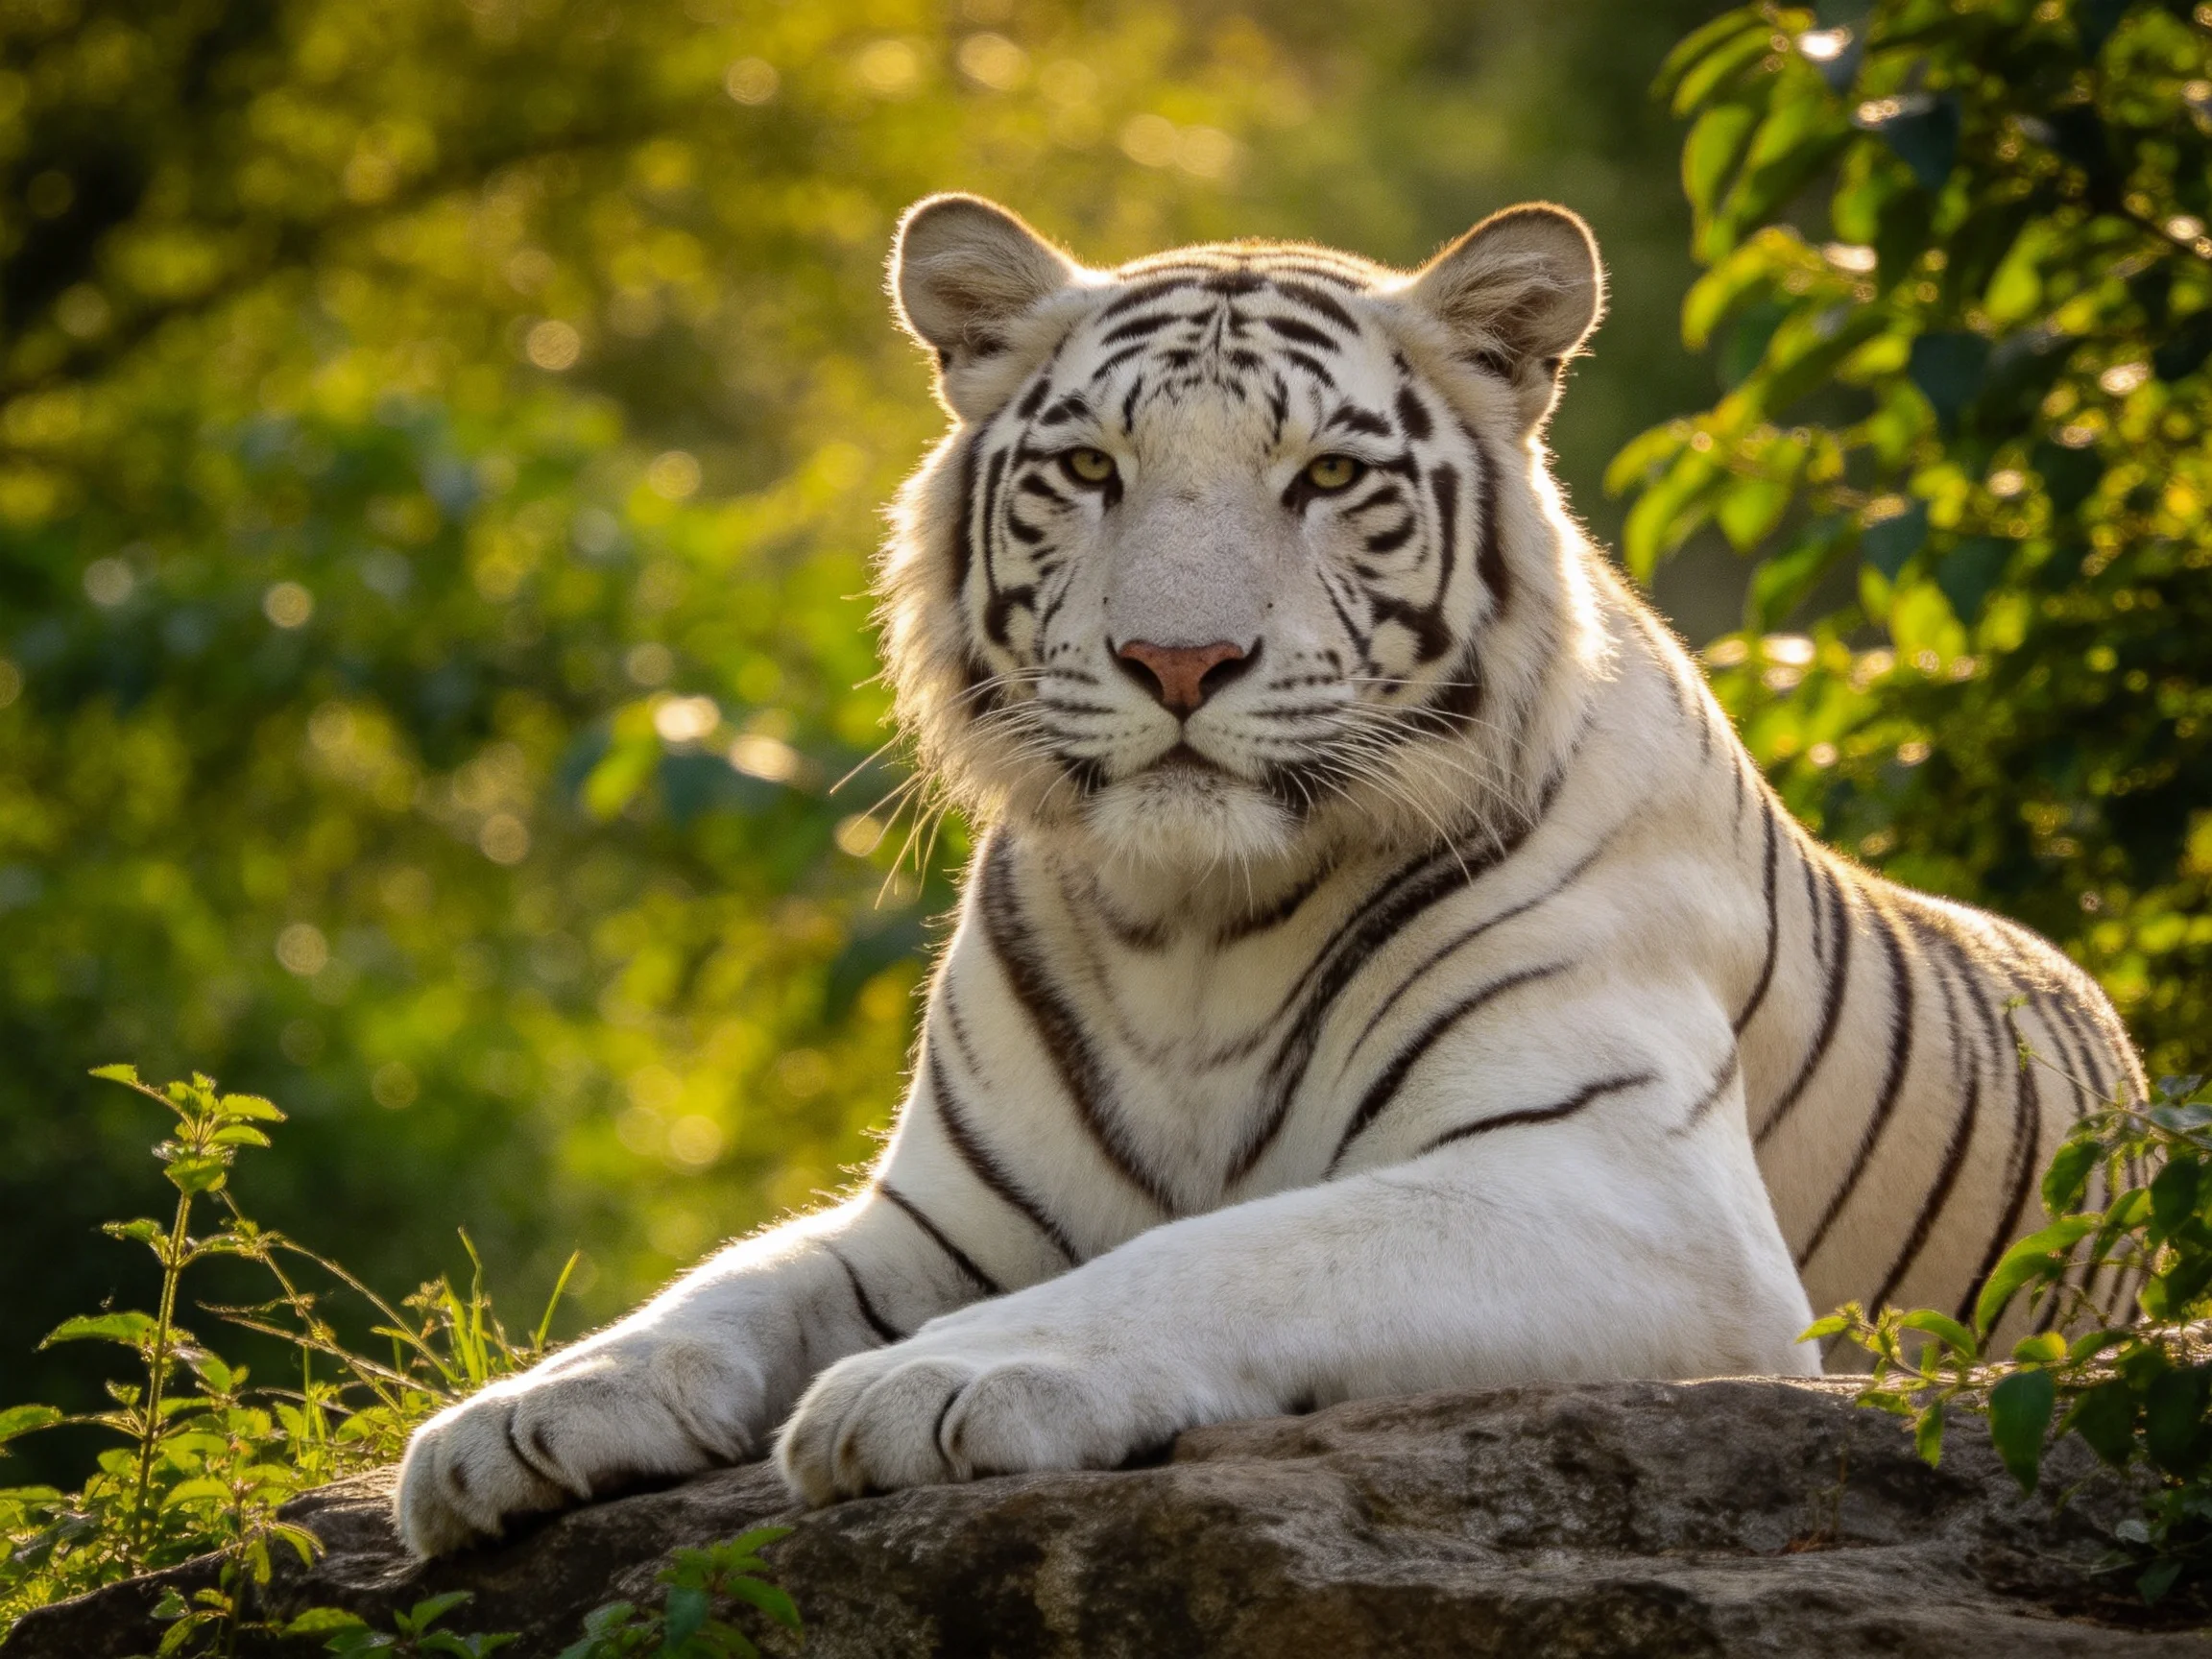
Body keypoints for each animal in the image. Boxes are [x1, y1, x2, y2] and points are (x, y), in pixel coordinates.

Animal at [394, 193, 2145, 1555]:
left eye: (1325, 478)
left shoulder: (1635, 1196)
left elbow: (1231, 1246)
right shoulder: (942, 1214)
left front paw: (937, 1383)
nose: (1178, 659)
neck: (1190, 931)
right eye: (1089, 469)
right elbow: (727, 1286)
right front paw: (520, 1415)